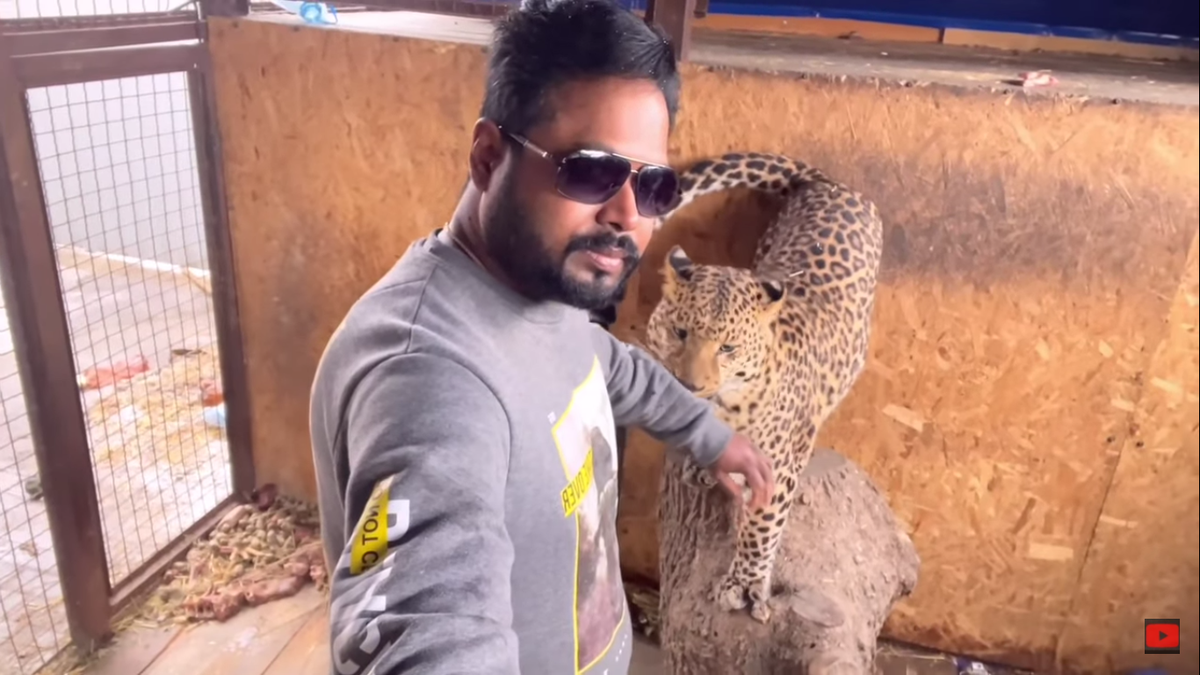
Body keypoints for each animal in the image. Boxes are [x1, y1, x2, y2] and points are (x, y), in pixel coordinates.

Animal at [642, 152, 884, 623]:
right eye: (680, 332)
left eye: (728, 348)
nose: (689, 384)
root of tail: (828, 184)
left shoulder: (781, 464)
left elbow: (762, 525)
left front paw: (746, 584)